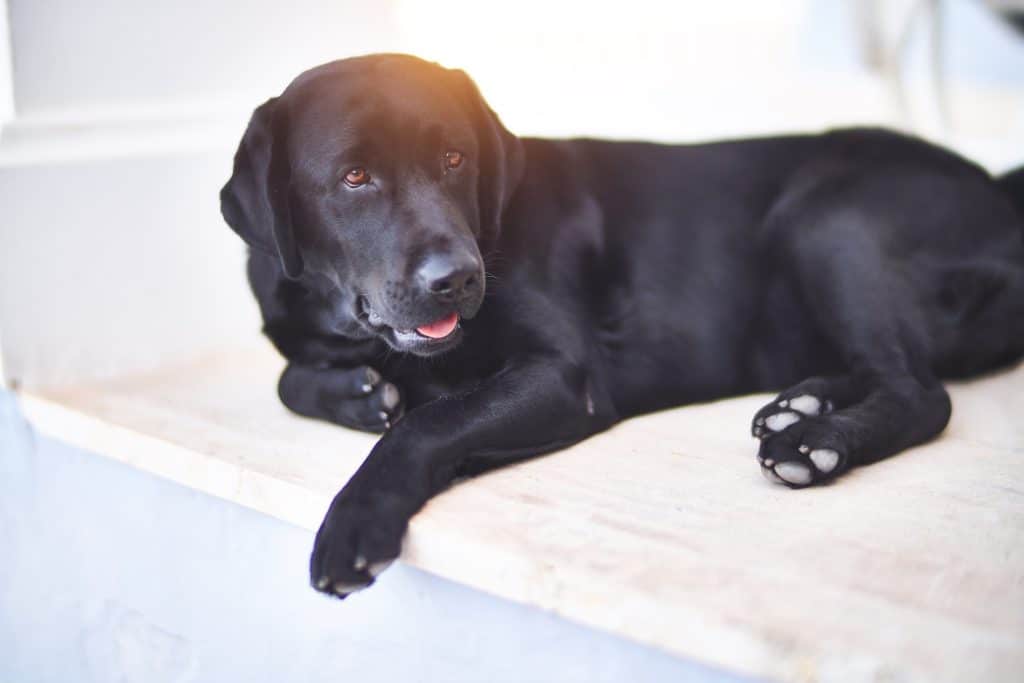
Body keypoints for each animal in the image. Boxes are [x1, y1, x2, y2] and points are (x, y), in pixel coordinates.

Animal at [222, 54, 1024, 598]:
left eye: (454, 158)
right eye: (354, 178)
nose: (456, 277)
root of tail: (996, 188)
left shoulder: (564, 375)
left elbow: (430, 420)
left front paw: (357, 516)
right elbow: (289, 377)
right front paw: (358, 394)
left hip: (830, 216)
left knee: (922, 392)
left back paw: (816, 442)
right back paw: (801, 404)